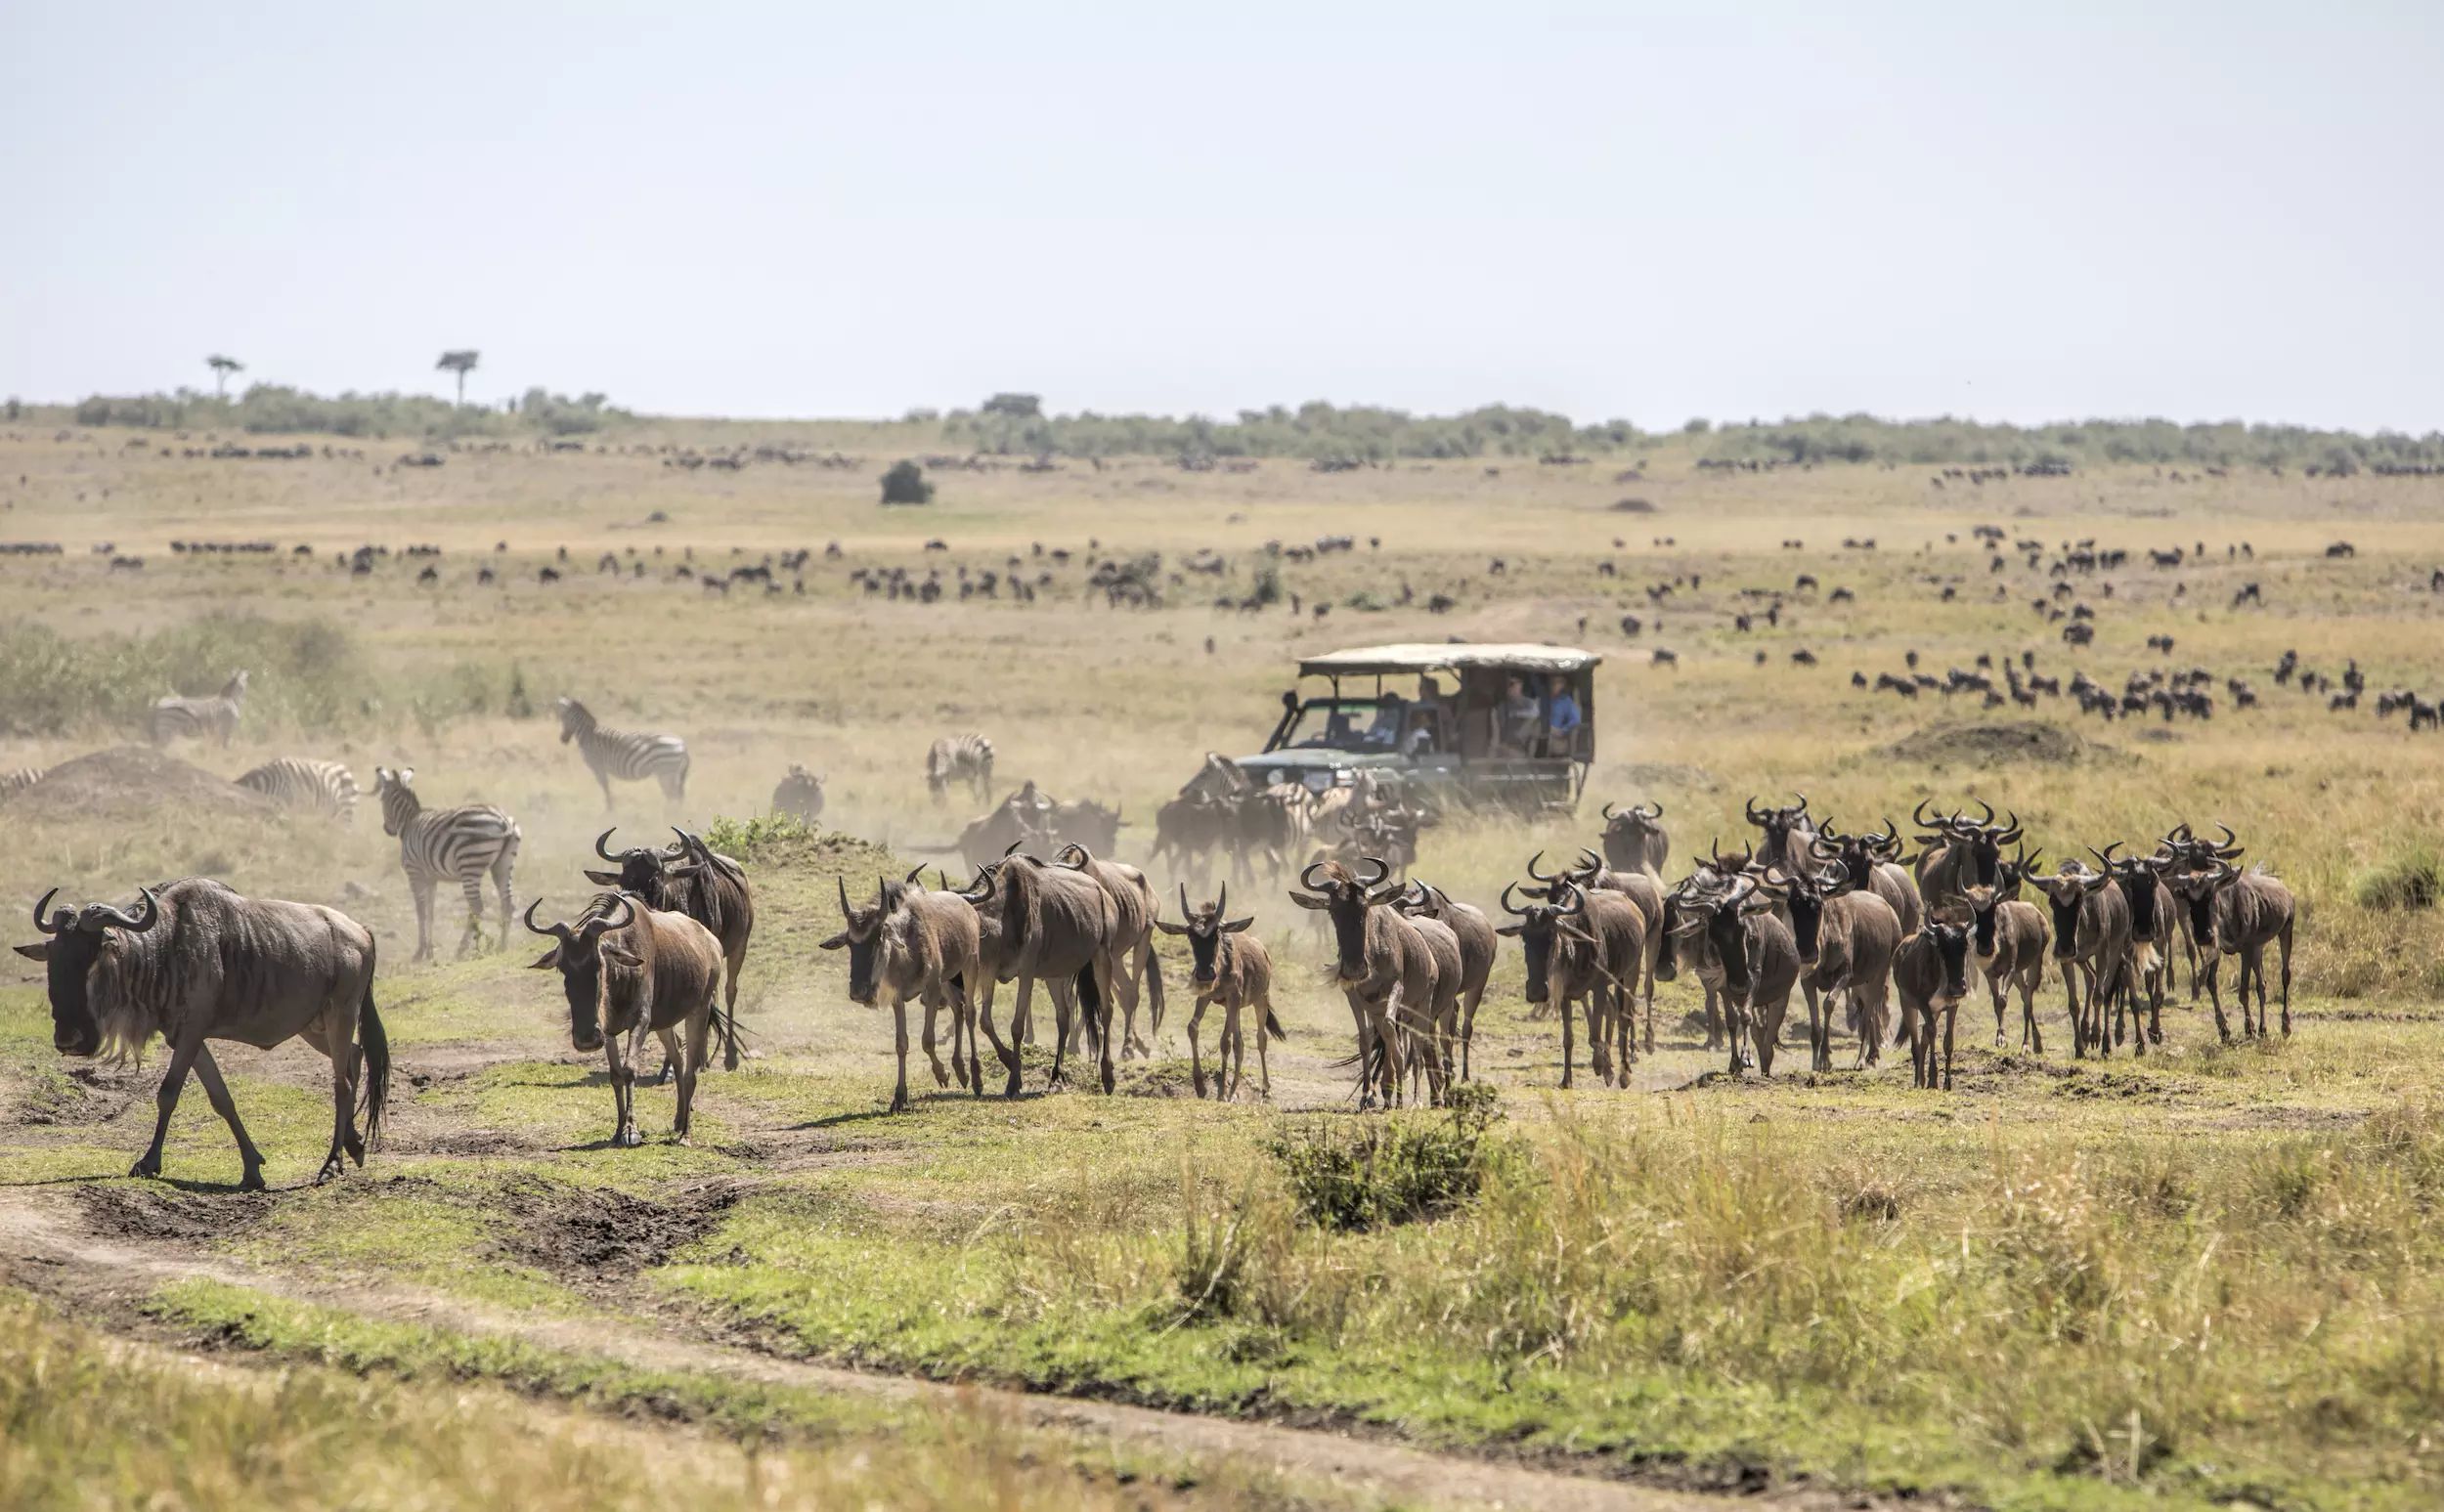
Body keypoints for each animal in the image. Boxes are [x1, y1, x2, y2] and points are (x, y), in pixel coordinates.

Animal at [371, 761, 520, 962]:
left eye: (381, 800)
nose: (388, 829)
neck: (409, 822)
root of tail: (505, 821)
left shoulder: (414, 872)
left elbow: (421, 910)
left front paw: (419, 953)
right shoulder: (431, 878)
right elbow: (431, 912)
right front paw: (429, 952)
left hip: (470, 863)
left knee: (476, 907)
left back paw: (462, 950)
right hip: (502, 865)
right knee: (507, 904)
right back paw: (501, 947)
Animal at [559, 698, 694, 810]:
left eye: (563, 718)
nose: (563, 740)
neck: (588, 734)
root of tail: (683, 745)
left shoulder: (597, 765)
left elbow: (605, 787)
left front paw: (609, 809)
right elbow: (606, 787)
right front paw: (610, 808)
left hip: (666, 772)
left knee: (673, 795)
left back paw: (669, 814)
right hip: (672, 773)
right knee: (677, 794)